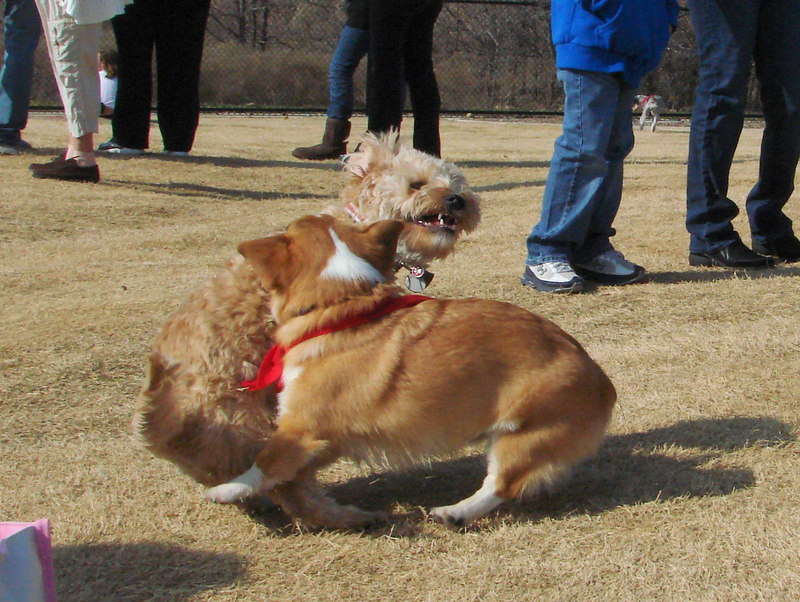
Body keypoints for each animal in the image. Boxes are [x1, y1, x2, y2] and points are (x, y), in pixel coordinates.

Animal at [133, 131, 482, 488]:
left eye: (457, 182)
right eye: (416, 184)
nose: (457, 200)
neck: (358, 224)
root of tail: (160, 422)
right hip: (241, 418)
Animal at [208, 214, 620, 524]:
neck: (340, 304)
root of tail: (602, 380)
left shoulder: (300, 427)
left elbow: (265, 462)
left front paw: (227, 489)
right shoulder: (329, 436)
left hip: (524, 436)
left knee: (501, 484)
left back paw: (454, 513)